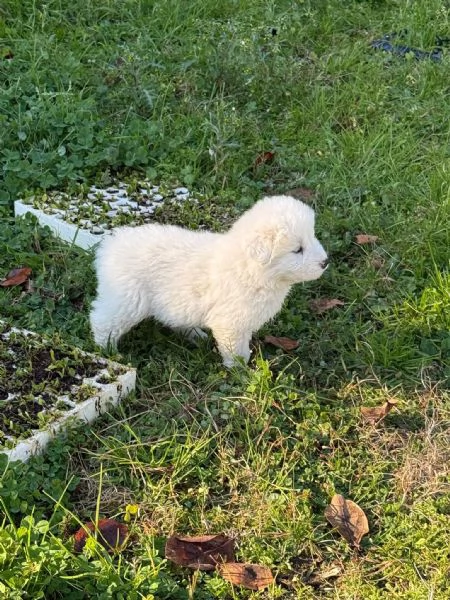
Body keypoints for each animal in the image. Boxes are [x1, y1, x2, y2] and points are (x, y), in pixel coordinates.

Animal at [89, 196, 326, 366]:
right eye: (297, 250)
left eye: (313, 236)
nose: (325, 262)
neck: (252, 269)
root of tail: (111, 244)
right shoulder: (230, 322)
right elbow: (234, 349)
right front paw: (239, 370)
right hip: (127, 299)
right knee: (103, 320)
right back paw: (108, 351)